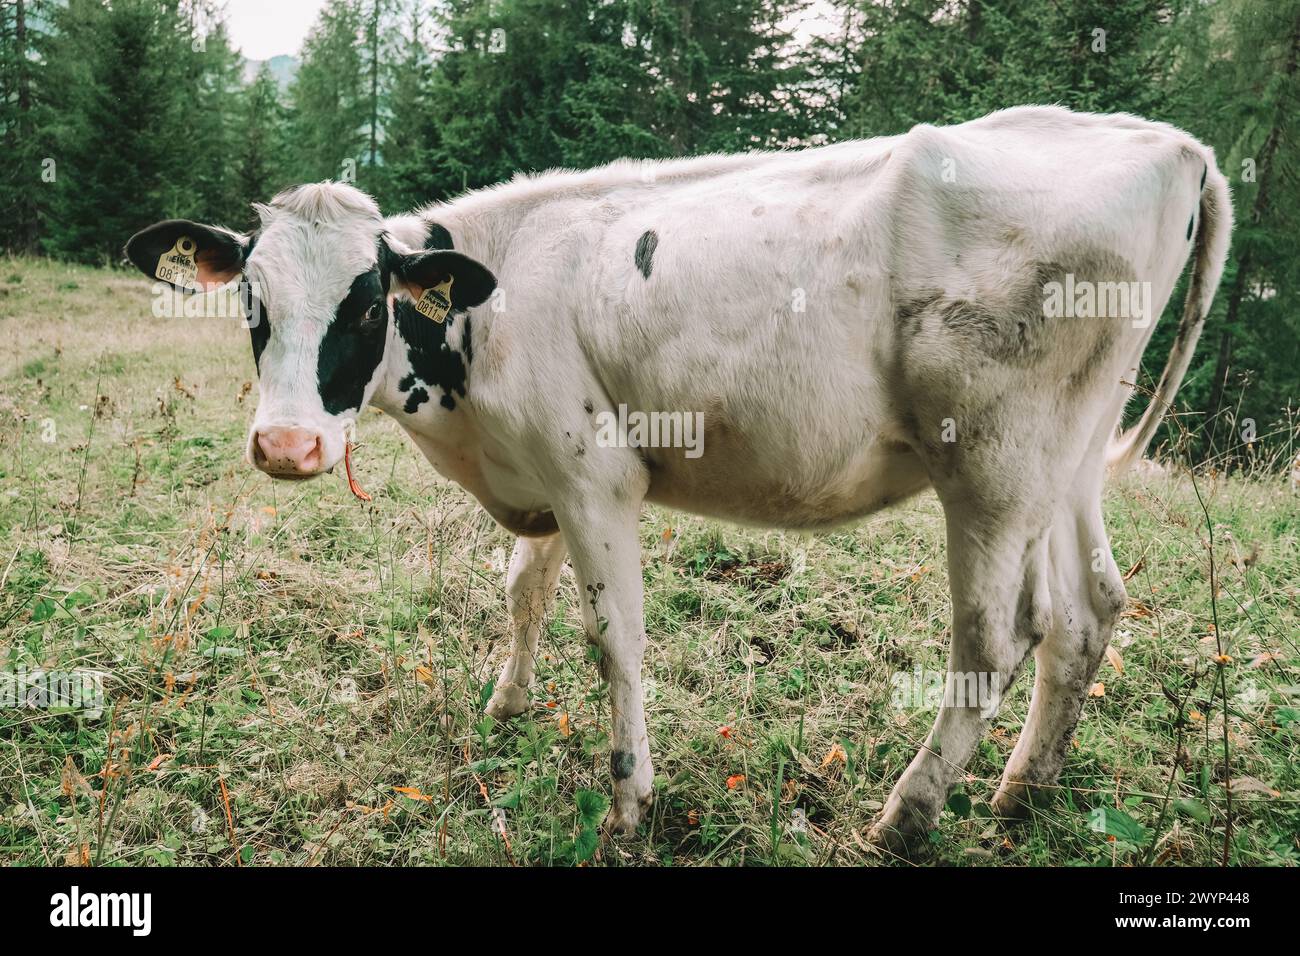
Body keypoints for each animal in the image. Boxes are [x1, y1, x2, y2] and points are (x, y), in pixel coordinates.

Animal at [125, 106, 1231, 852]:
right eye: (253, 300)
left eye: (365, 304)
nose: (286, 447)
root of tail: (1167, 144)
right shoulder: (540, 472)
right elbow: (520, 590)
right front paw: (506, 703)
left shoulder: (594, 476)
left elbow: (614, 640)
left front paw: (627, 801)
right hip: (1068, 462)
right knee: (1088, 610)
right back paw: (1023, 789)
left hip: (993, 464)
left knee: (997, 638)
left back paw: (907, 815)